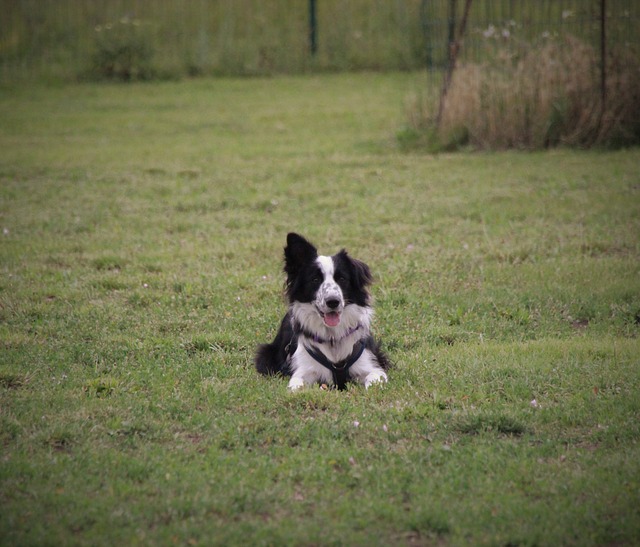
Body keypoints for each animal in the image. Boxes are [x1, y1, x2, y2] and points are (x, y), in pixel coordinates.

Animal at [255, 233, 390, 392]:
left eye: (342, 279)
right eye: (315, 279)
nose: (333, 301)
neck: (332, 338)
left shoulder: (372, 366)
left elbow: (374, 380)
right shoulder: (303, 370)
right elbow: (297, 385)